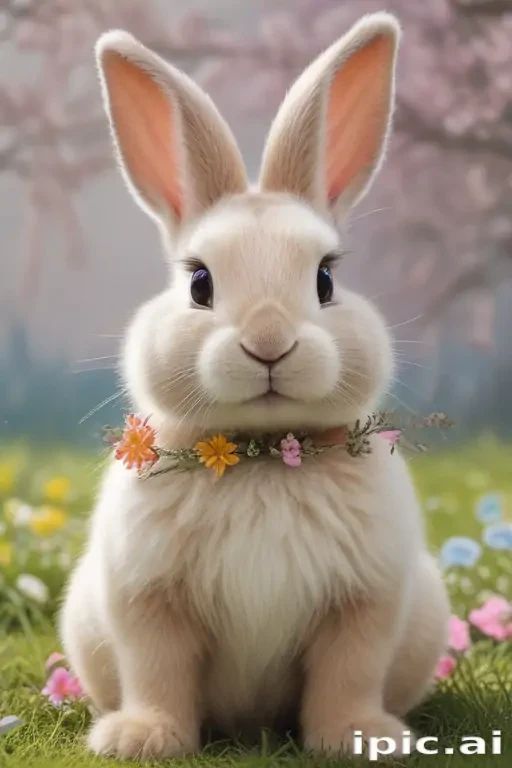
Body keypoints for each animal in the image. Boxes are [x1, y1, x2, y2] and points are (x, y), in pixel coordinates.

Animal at [60, 11, 450, 761]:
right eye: (198, 282)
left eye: (325, 279)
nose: (269, 342)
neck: (265, 455)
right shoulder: (147, 603)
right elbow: (157, 671)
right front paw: (143, 739)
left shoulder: (362, 605)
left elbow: (347, 675)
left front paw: (356, 737)